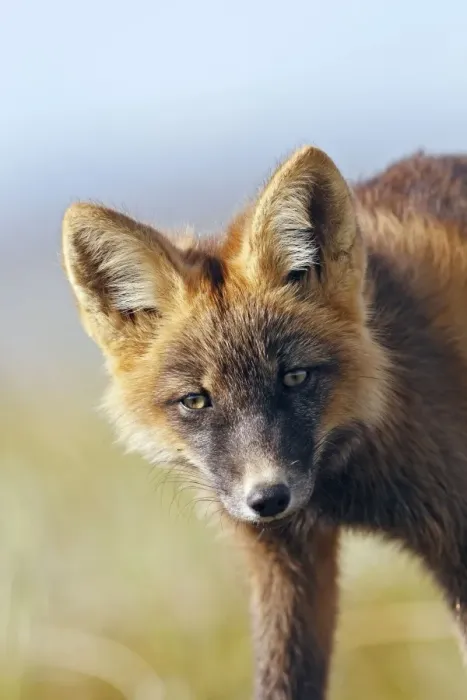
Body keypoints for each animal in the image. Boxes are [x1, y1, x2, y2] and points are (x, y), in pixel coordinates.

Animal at [62, 145, 467, 700]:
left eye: (294, 377)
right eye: (196, 400)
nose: (268, 497)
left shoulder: (457, 542)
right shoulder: (285, 564)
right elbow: (282, 681)